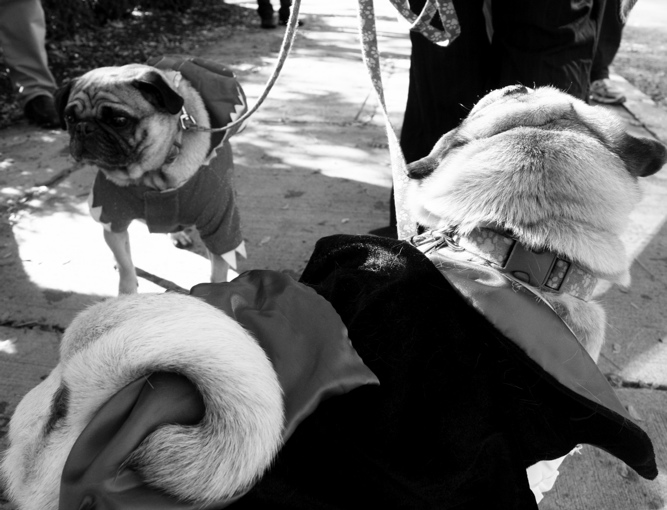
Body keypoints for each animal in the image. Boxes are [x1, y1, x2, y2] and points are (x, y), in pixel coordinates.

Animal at [55, 57, 248, 294]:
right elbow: (125, 264)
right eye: (69, 118)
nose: (83, 128)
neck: (152, 172)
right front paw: (127, 292)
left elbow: (218, 272)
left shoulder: (220, 225)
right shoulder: (111, 215)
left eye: (119, 120)